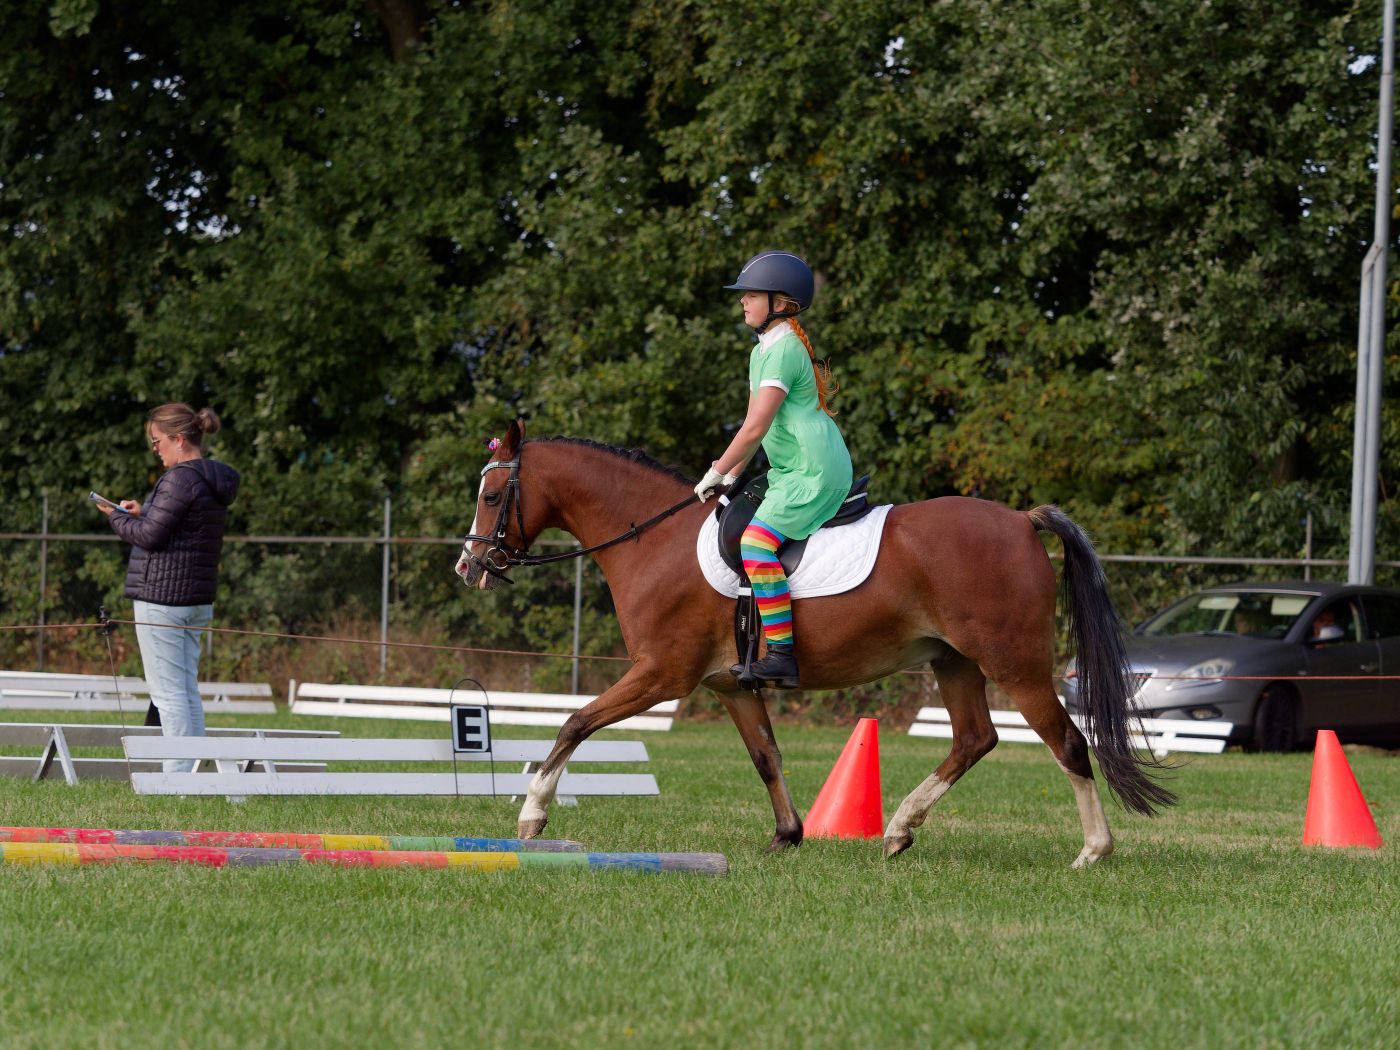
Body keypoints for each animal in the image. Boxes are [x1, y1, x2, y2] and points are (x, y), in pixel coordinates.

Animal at [456, 420, 1173, 867]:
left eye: (491, 494)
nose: (469, 566)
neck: (654, 539)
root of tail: (1022, 521)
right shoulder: (727, 686)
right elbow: (766, 757)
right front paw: (788, 836)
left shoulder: (662, 674)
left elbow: (575, 722)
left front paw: (532, 817)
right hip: (954, 662)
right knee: (975, 739)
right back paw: (899, 830)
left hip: (1013, 663)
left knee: (1067, 742)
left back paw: (1093, 850)